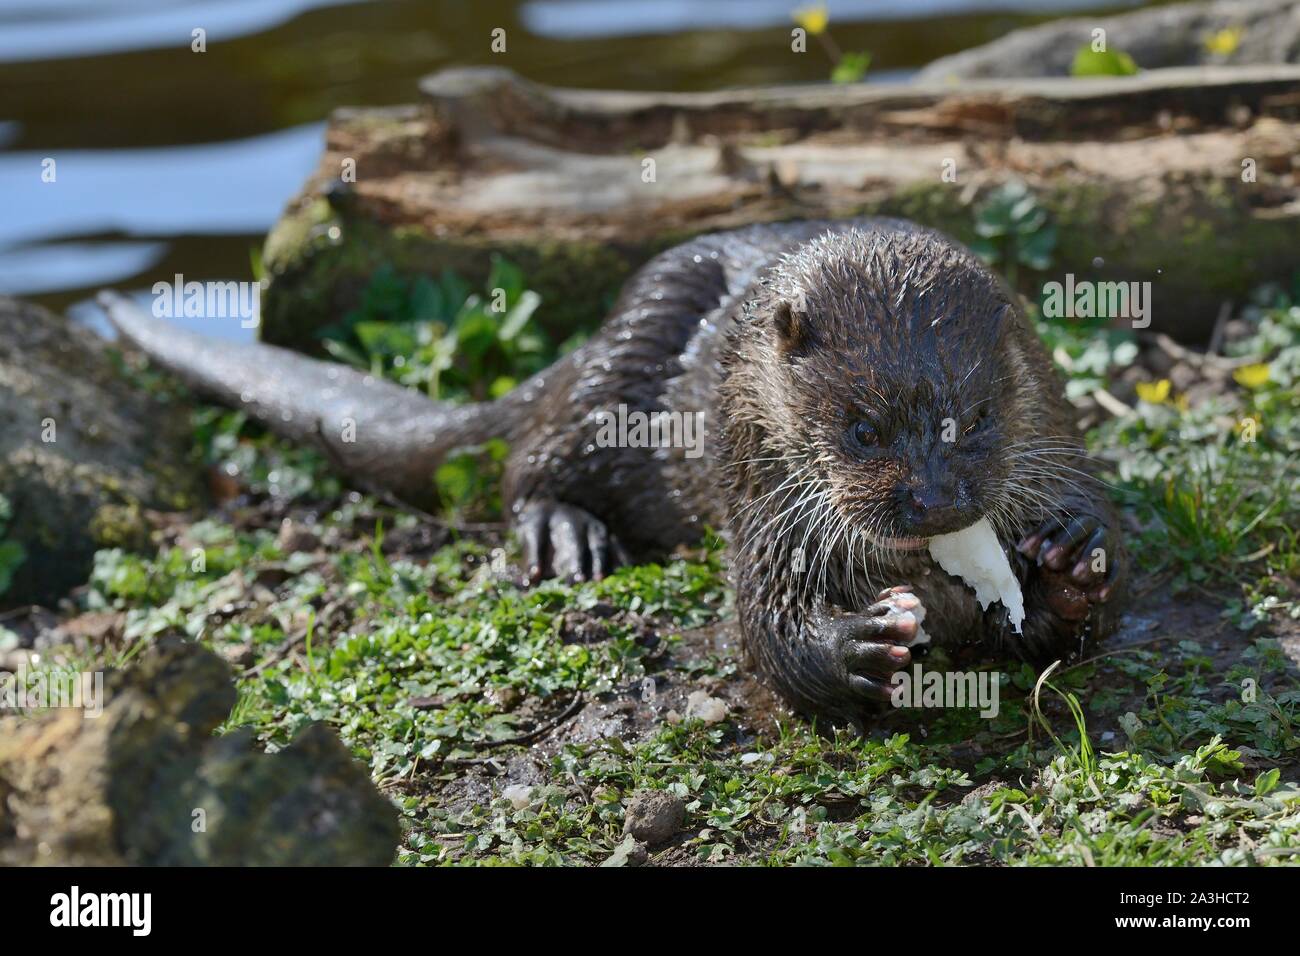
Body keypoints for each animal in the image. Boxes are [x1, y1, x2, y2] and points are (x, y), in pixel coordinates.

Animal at [101, 218, 1124, 728]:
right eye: (862, 429)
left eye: (980, 418)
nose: (937, 501)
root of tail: (597, 330)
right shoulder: (759, 495)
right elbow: (766, 628)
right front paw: (860, 644)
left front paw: (1070, 560)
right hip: (621, 370)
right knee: (527, 462)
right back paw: (565, 533)